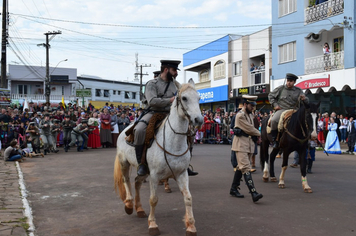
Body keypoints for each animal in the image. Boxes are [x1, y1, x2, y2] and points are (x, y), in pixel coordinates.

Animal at [114, 79, 203, 236]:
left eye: (199, 98)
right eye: (184, 98)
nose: (199, 120)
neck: (173, 142)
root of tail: (124, 131)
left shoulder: (182, 174)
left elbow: (188, 198)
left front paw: (191, 226)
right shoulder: (155, 176)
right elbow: (153, 199)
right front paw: (153, 225)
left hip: (143, 170)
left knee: (137, 182)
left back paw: (139, 209)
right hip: (124, 163)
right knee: (126, 180)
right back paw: (129, 204)